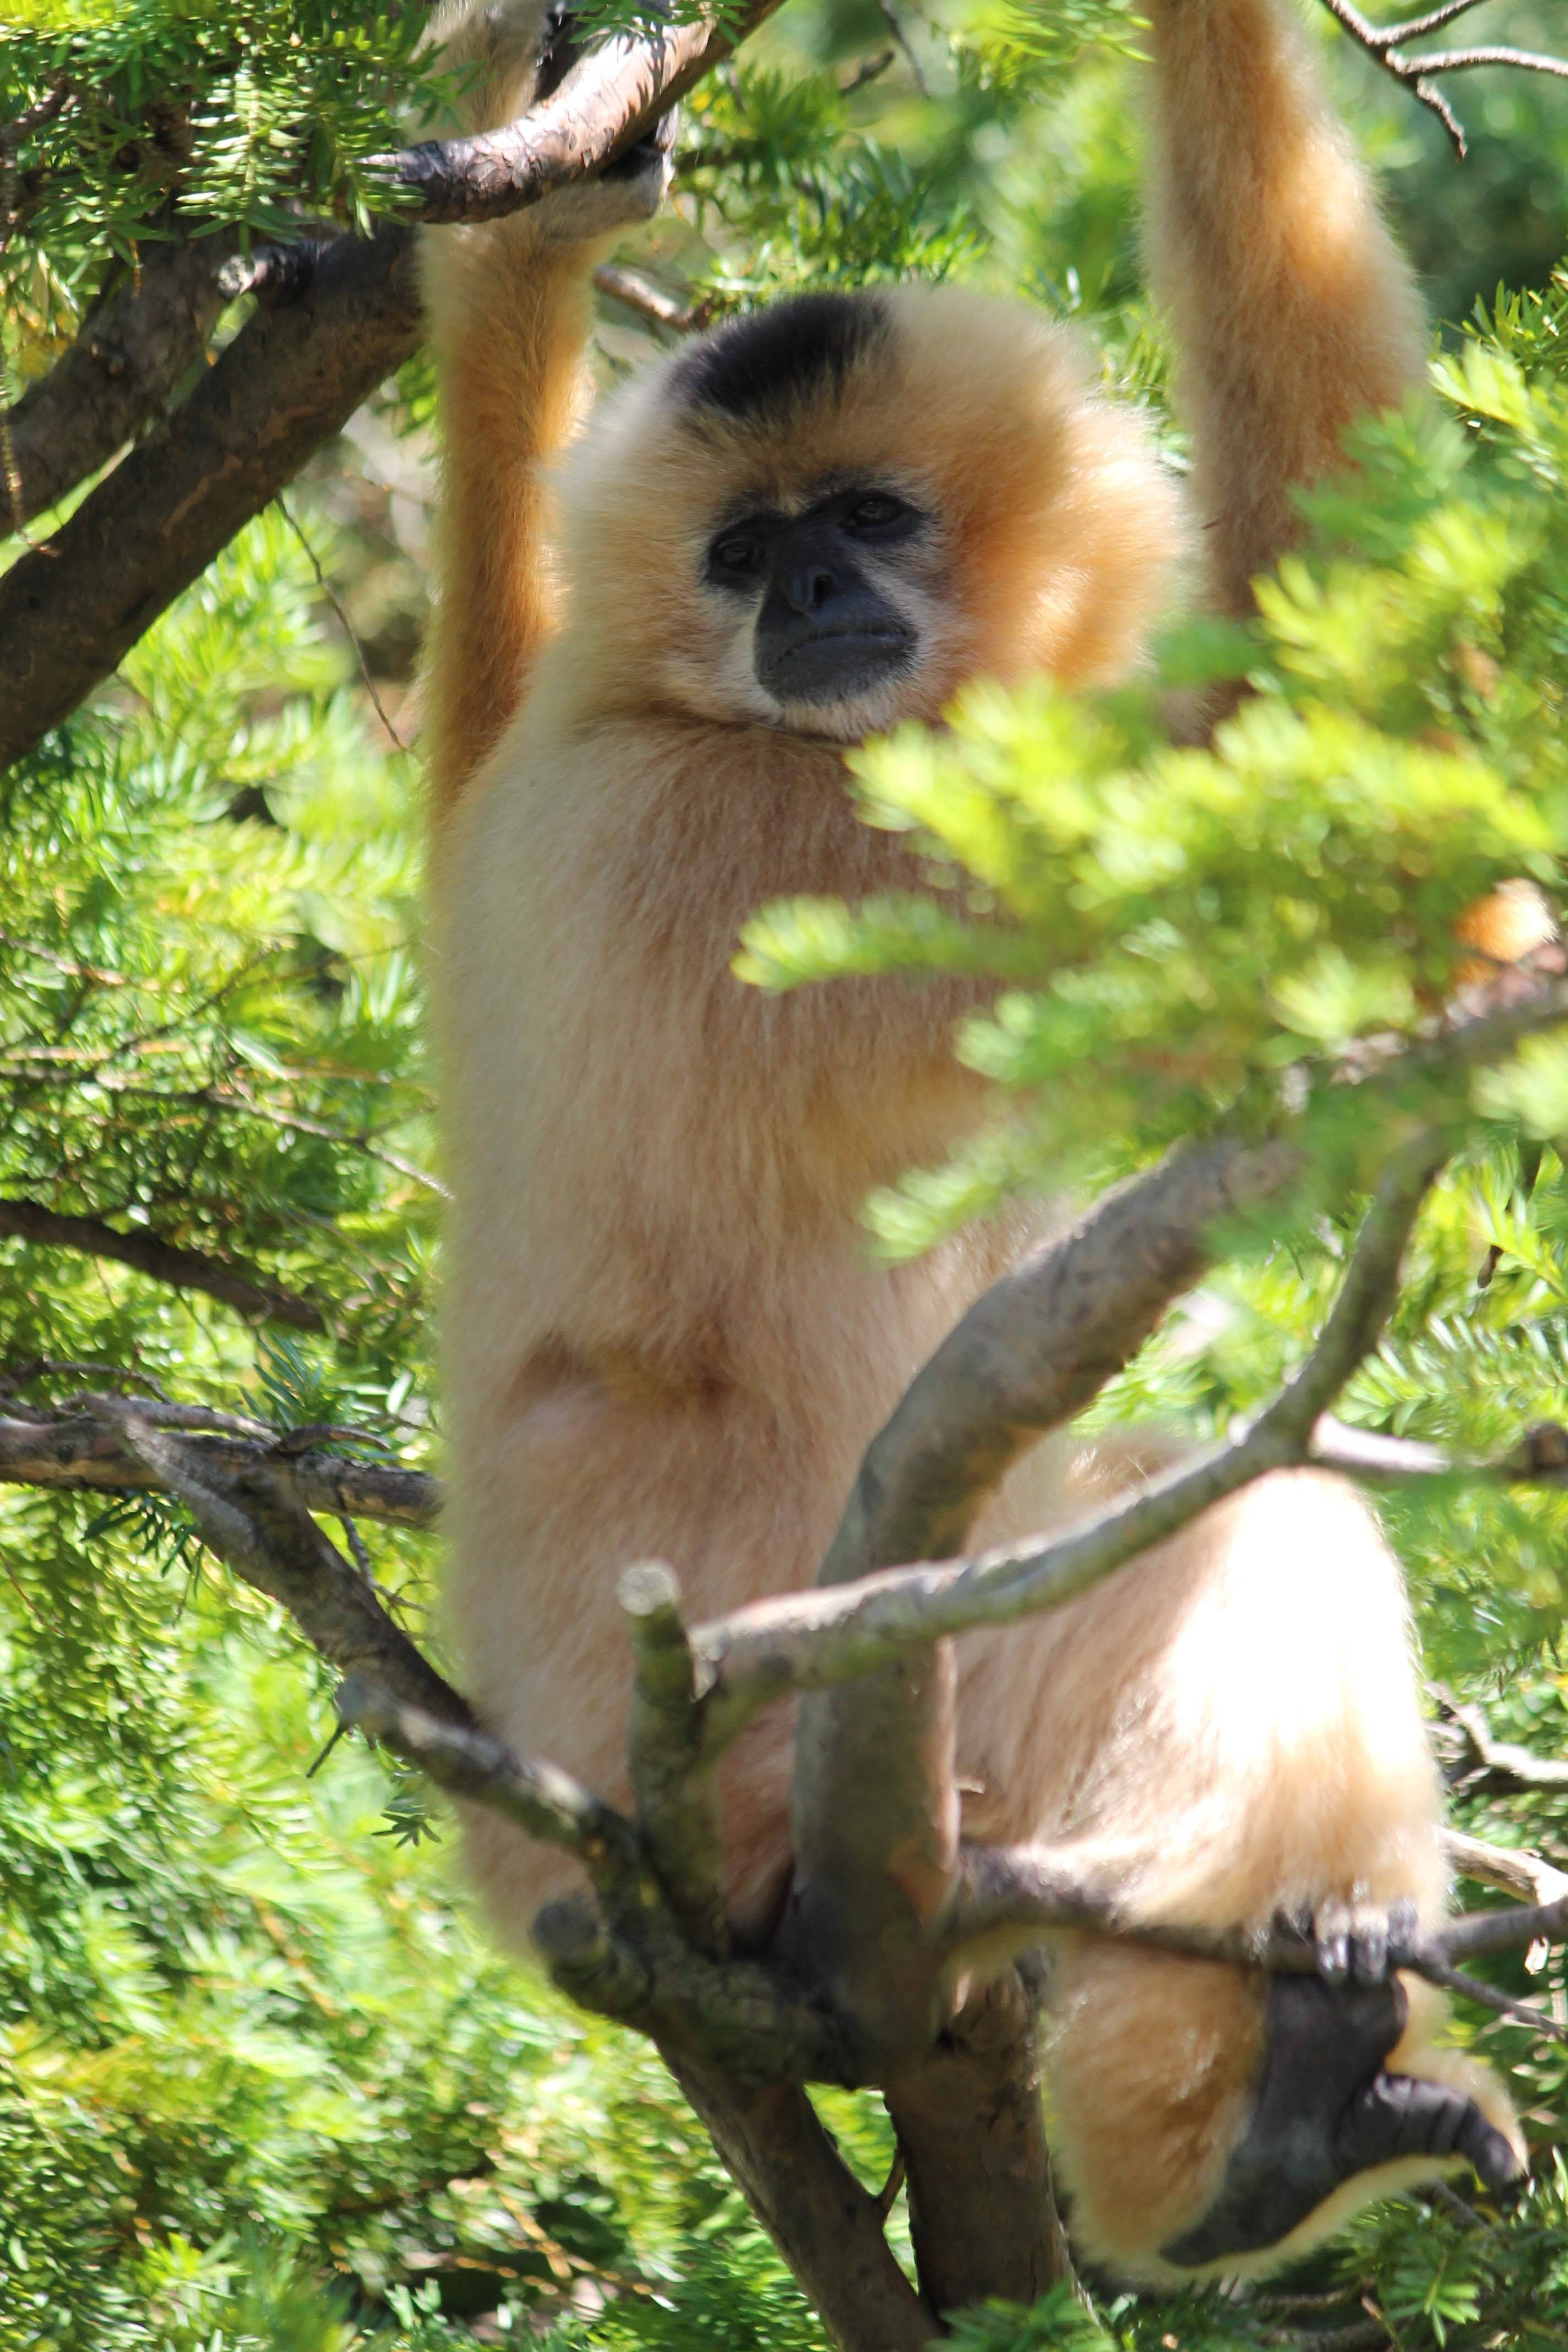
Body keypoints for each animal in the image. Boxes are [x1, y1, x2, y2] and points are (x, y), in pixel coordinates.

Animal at [420, 0, 1526, 2284]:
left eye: (861, 513)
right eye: (747, 552)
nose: (811, 593)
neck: (678, 715)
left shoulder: (541, 772)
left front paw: (526, 214)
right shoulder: (807, 841)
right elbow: (1358, 877)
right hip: (798, 1781)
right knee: (1248, 1525)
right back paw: (1240, 2144)